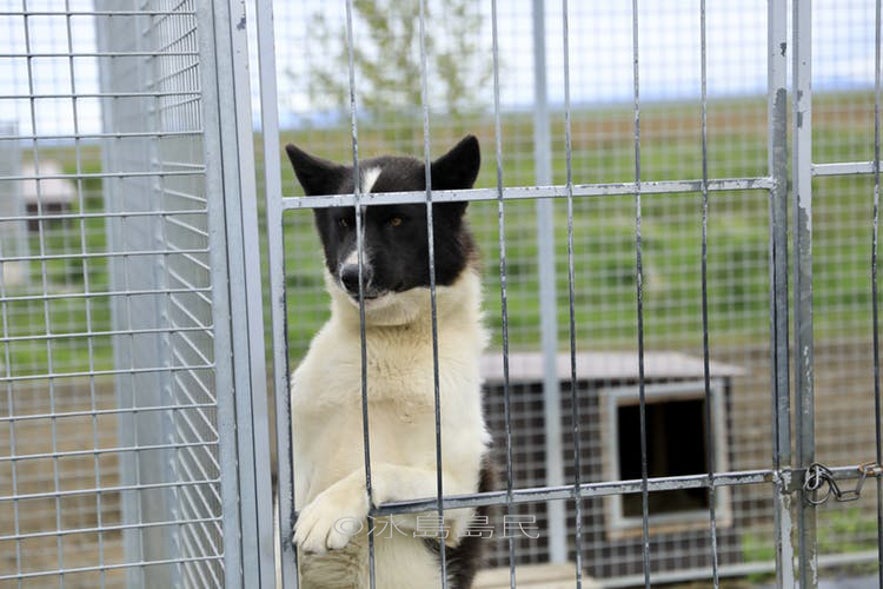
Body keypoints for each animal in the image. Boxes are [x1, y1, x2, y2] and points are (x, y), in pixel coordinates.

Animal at [288, 136, 498, 584]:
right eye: (344, 222)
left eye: (399, 220)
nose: (352, 275)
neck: (388, 342)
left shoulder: (457, 503)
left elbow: (379, 469)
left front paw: (329, 511)